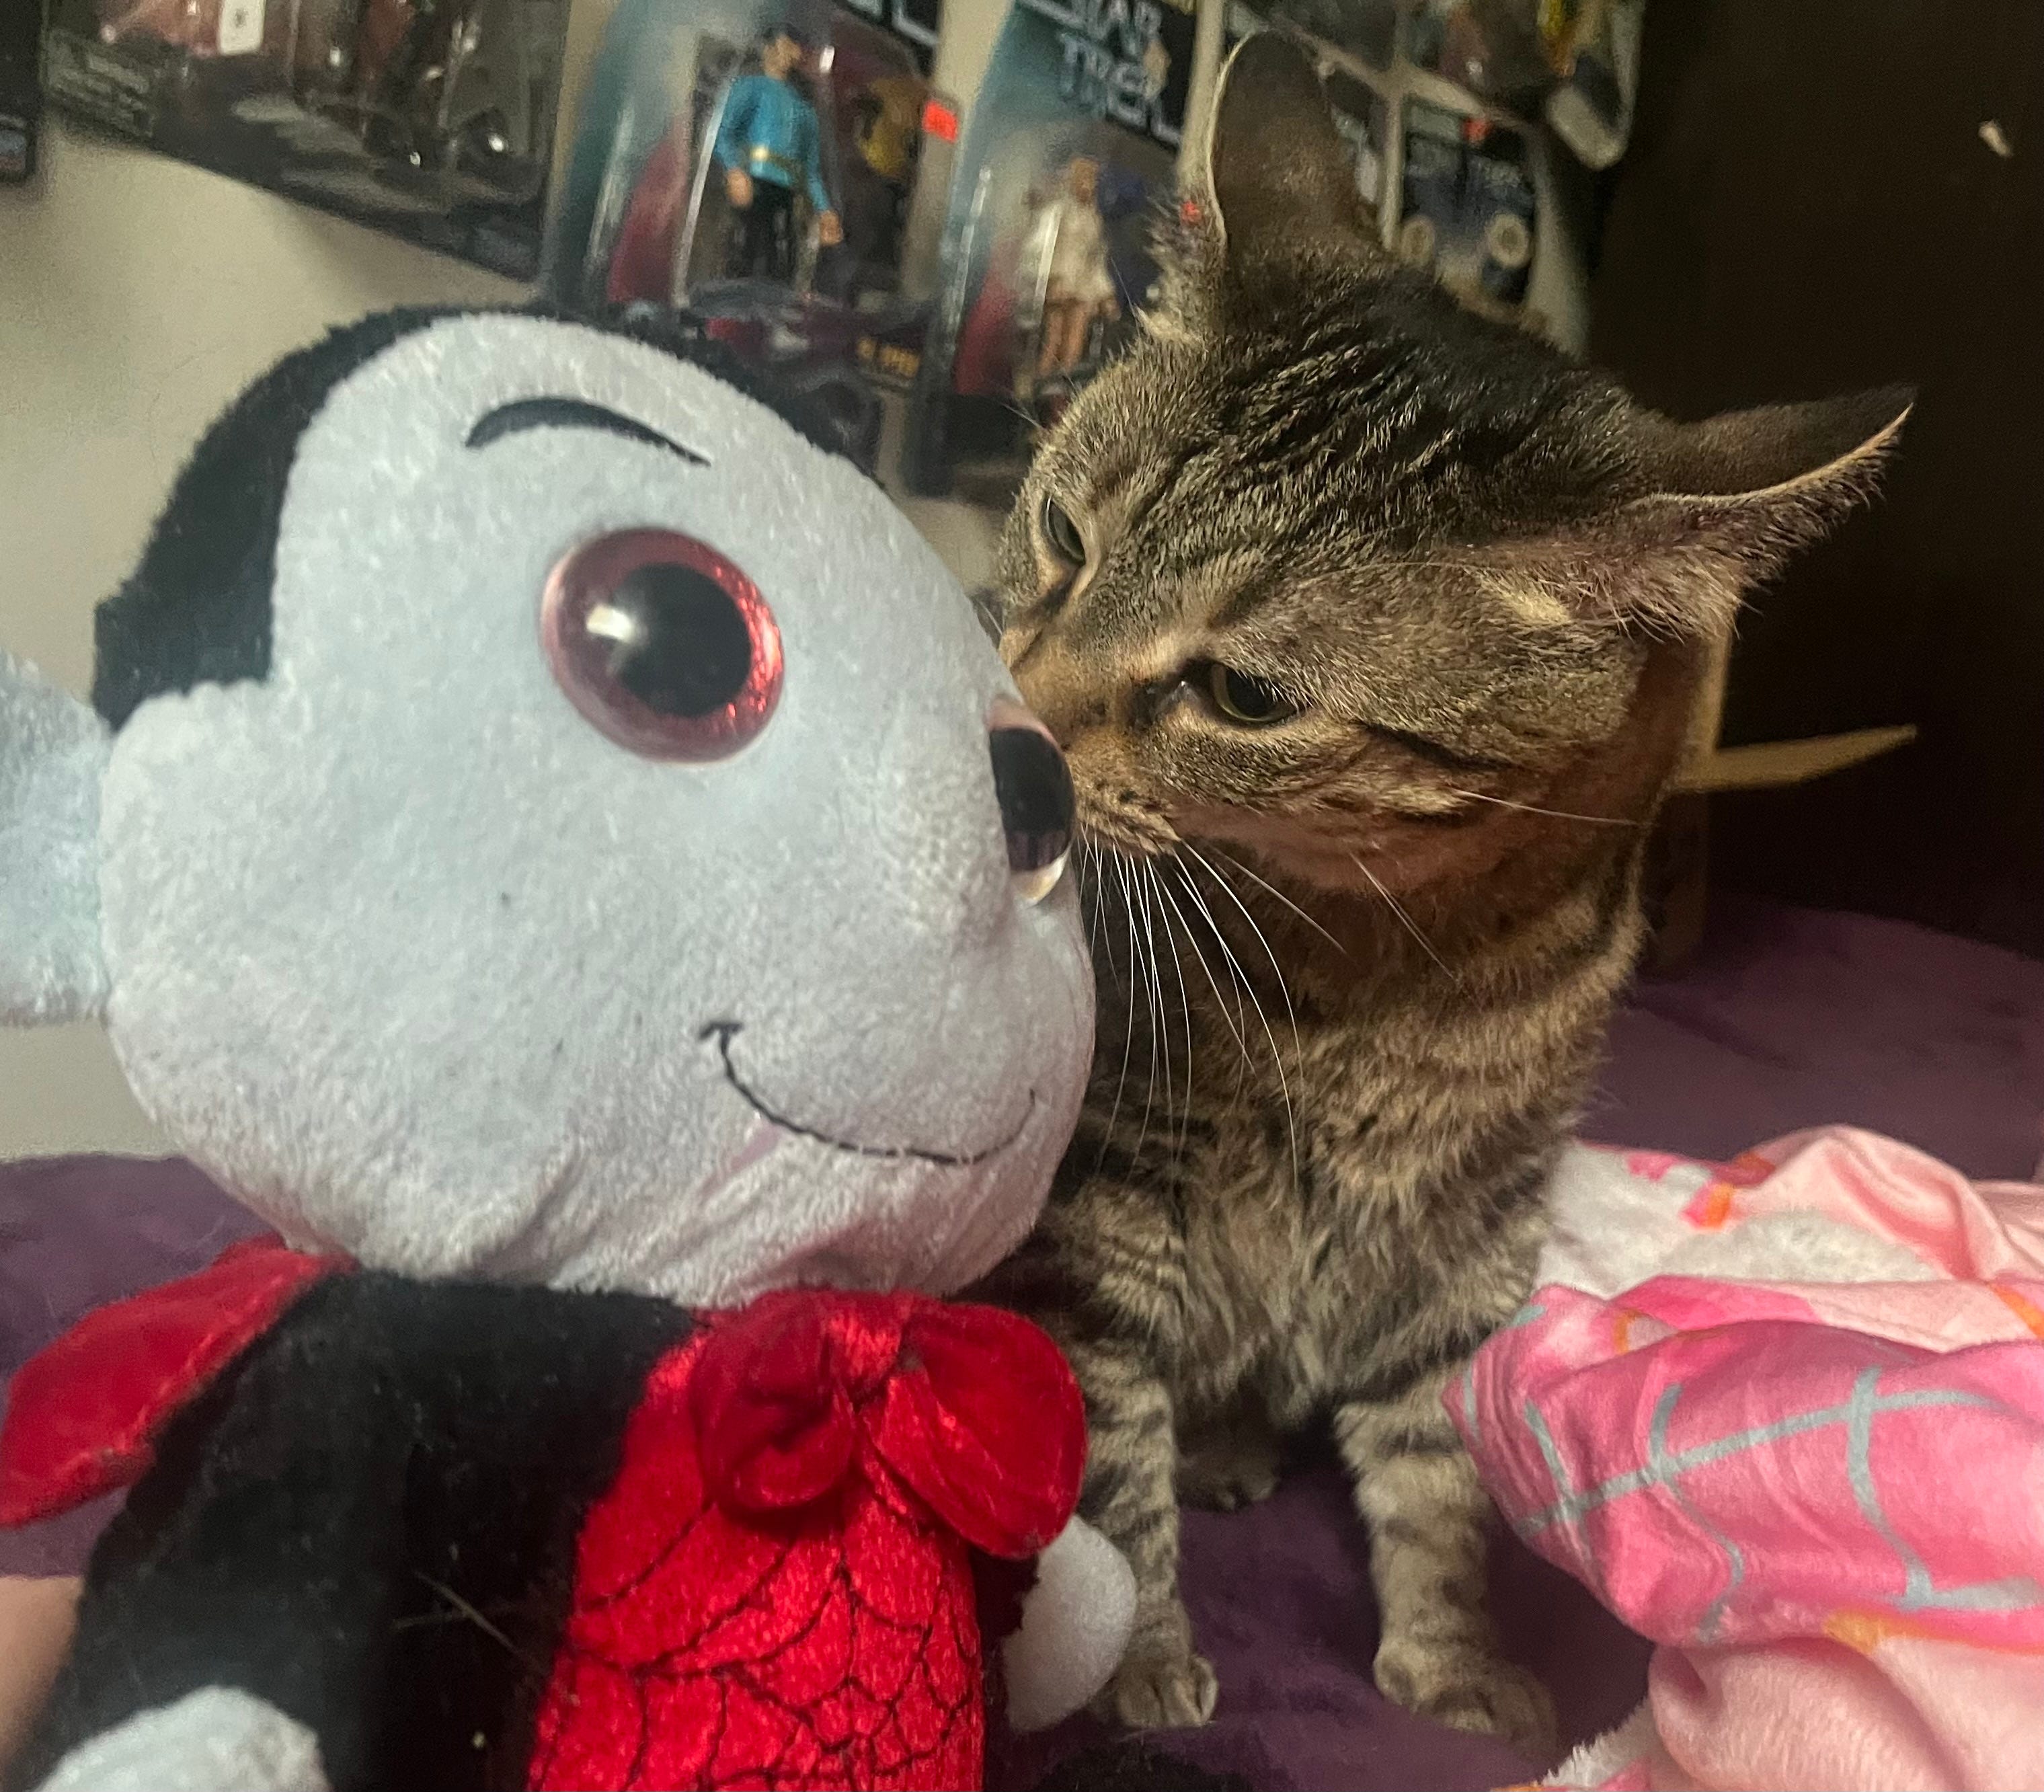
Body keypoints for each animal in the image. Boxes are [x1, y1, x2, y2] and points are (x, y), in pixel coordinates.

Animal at [977, 32, 1905, 1757]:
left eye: (1243, 695)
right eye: (1063, 531)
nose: (1011, 717)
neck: (1367, 974)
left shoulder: (1468, 1226)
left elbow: (1444, 1464)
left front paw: (1454, 1650)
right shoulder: (1107, 1205)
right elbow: (1110, 1450)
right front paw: (1135, 1656)